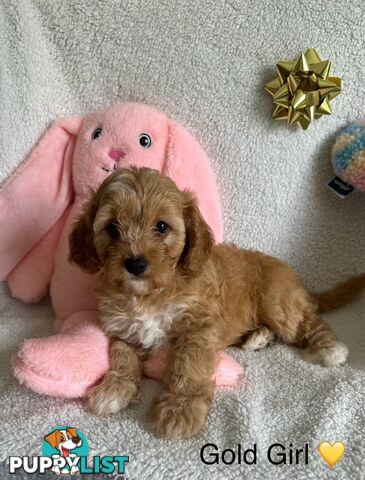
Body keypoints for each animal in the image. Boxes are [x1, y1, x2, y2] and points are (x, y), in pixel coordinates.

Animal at [68, 167, 364, 440]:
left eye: (162, 226)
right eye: (112, 228)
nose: (136, 264)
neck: (148, 295)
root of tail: (296, 280)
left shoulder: (198, 327)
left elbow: (188, 368)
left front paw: (180, 409)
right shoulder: (122, 328)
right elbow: (123, 357)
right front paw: (115, 388)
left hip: (278, 303)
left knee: (307, 321)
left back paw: (329, 348)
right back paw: (258, 338)